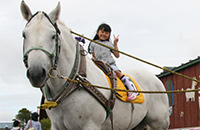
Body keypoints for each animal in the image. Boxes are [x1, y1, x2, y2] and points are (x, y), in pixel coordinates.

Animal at [20, 1, 170, 130]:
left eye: (53, 36)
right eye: (24, 35)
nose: (36, 73)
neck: (74, 83)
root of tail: (156, 79)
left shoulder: (90, 125)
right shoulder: (57, 126)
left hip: (159, 123)